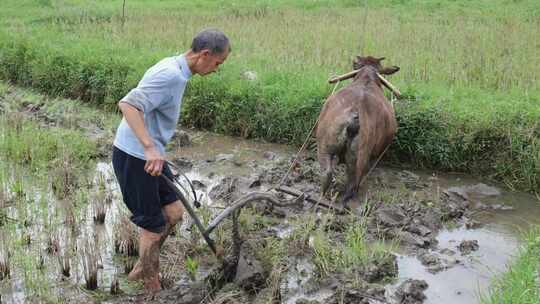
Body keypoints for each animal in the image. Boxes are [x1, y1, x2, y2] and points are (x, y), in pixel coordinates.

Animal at [314, 55, 398, 207]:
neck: (367, 76)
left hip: (324, 146)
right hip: (359, 157)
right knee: (353, 182)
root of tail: (354, 114)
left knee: (327, 173)